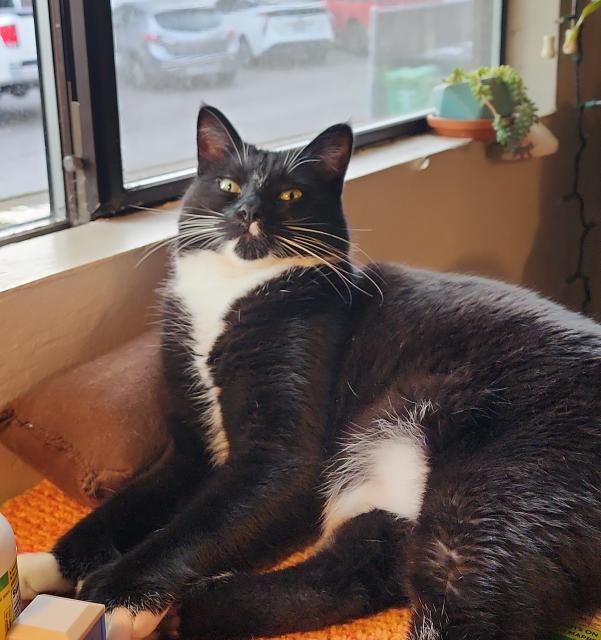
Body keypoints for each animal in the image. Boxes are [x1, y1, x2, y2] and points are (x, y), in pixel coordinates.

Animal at [17, 106, 600, 640]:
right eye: (228, 185)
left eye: (291, 195)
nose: (249, 210)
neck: (233, 291)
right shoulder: (189, 450)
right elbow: (129, 500)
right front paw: (51, 566)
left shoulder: (281, 457)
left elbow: (195, 524)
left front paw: (115, 593)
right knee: (357, 572)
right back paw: (197, 609)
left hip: (499, 487)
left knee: (459, 598)